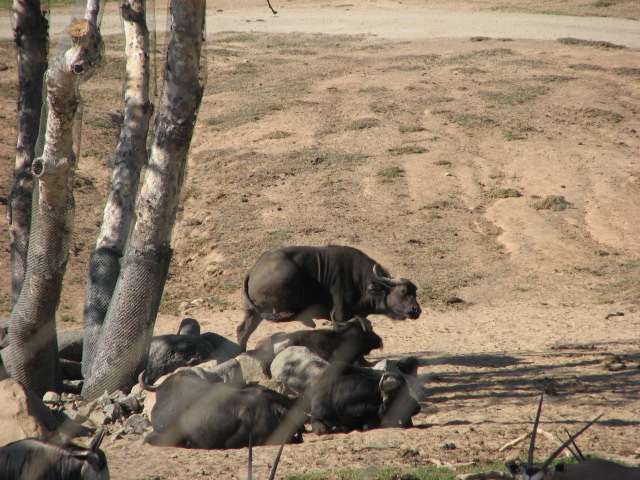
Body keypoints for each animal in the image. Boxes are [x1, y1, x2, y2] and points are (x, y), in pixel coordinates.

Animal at [237, 245, 421, 350]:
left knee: (242, 331)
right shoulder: (339, 316)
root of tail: (254, 269)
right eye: (403, 291)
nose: (416, 310)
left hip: (252, 313)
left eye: (415, 292)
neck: (362, 282)